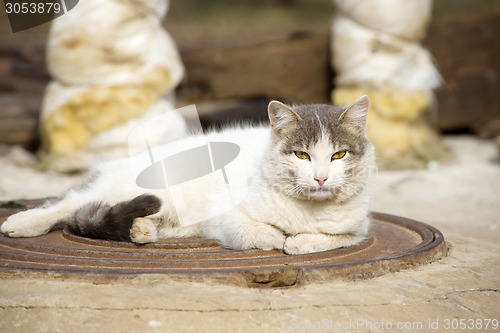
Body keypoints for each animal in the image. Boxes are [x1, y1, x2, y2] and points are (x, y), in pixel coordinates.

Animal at [0, 96, 376, 254]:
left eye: (338, 155)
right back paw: (22, 223)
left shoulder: (357, 230)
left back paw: (141, 229)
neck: (308, 210)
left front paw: (301, 241)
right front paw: (282, 239)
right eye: (301, 155)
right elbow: (263, 234)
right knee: (68, 204)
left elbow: (332, 239)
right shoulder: (229, 218)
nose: (321, 178)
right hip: (128, 187)